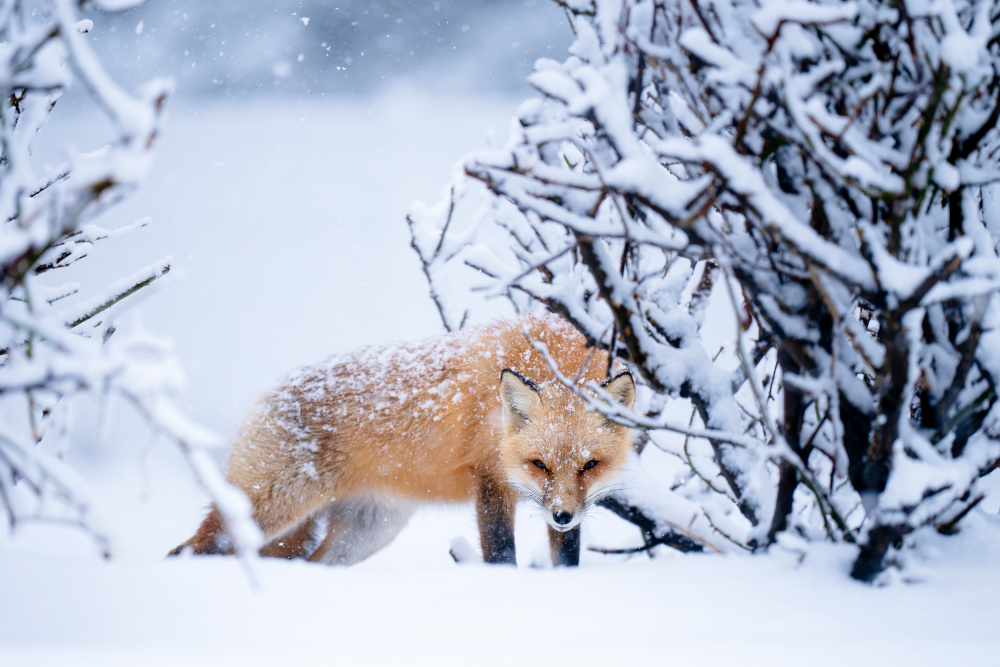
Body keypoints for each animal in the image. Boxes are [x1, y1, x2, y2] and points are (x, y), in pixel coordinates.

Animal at [169, 314, 635, 567]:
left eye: (589, 465)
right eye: (539, 464)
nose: (561, 515)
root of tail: (272, 391)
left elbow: (568, 559)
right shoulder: (490, 478)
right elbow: (501, 552)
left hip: (368, 532)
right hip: (266, 510)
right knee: (190, 549)